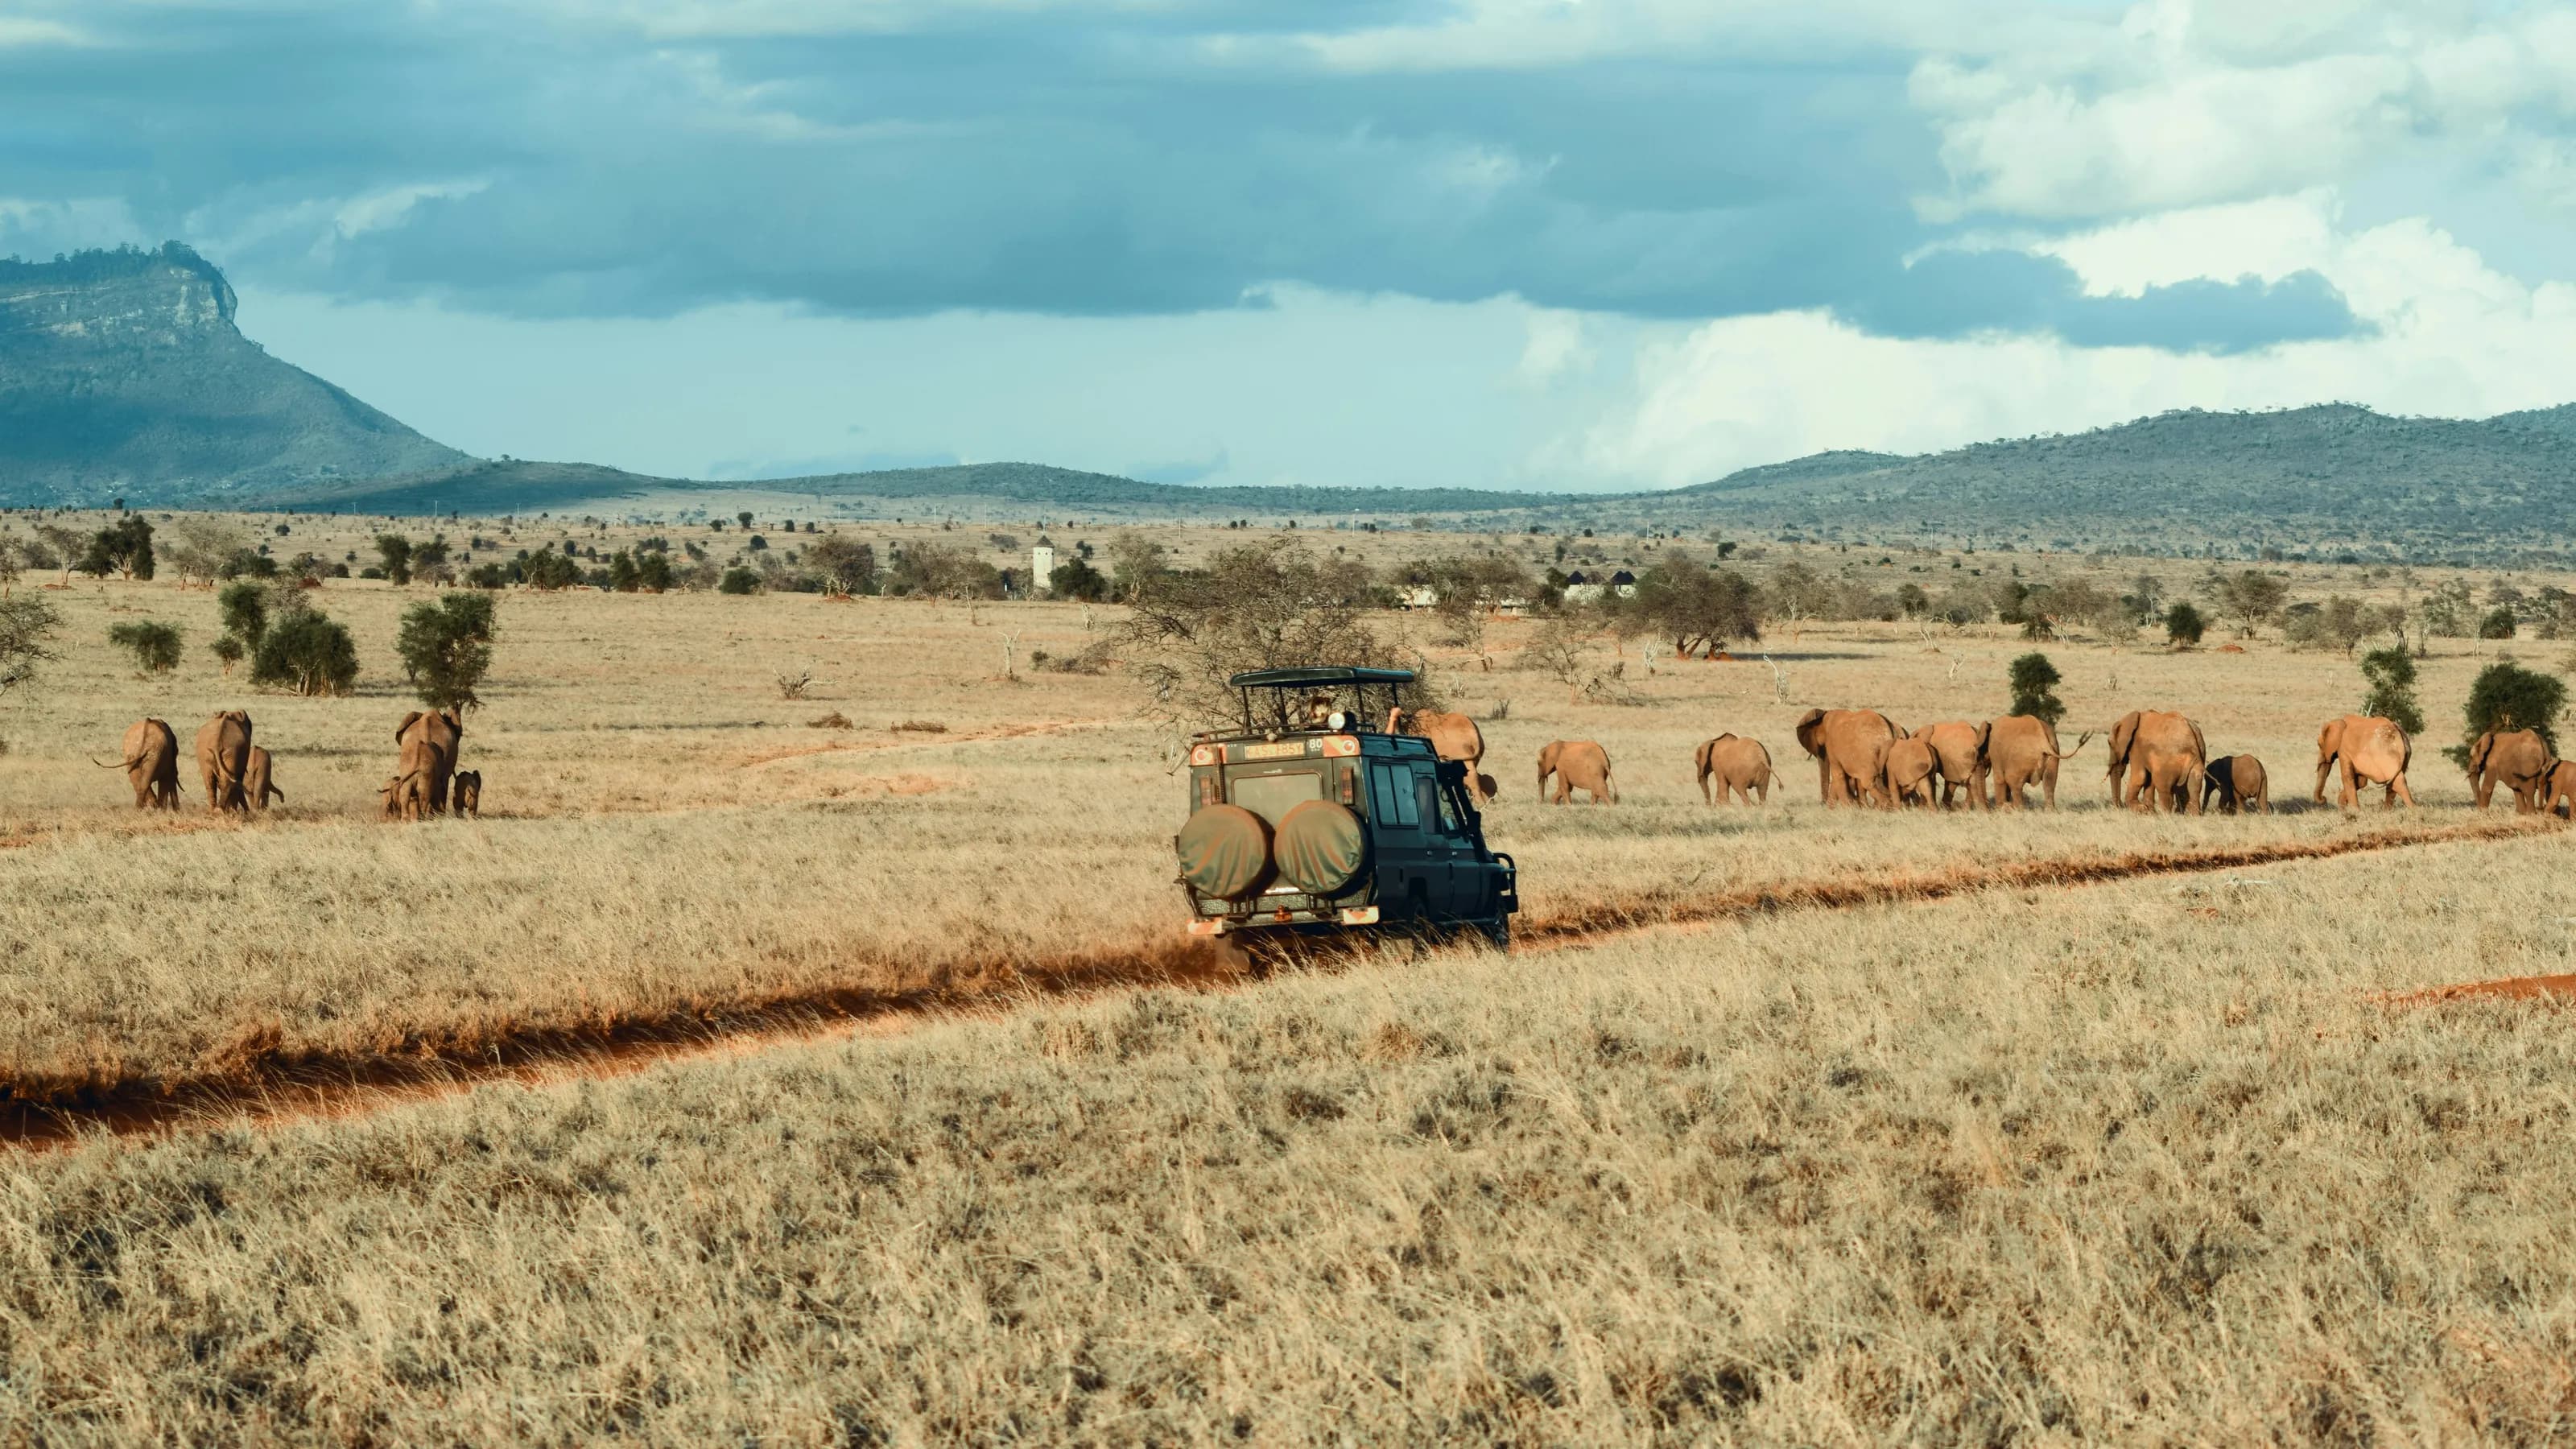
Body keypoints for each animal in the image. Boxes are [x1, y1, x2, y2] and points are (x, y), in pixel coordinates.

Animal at [194, 710, 254, 815]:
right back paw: (221, 811)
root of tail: (216, 744)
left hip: (204, 753)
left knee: (209, 781)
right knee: (228, 781)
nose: (248, 812)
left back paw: (214, 811)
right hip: (232, 752)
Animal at [1794, 708, 1900, 806]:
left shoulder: (1832, 745)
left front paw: (1847, 808)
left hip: (1870, 752)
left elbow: (1838, 773)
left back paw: (1886, 805)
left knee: (1868, 782)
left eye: (1822, 747)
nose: (1822, 804)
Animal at [2107, 710, 2206, 814]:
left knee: (2163, 787)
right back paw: (2189, 815)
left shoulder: (2136, 747)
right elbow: (2149, 780)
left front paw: (2140, 809)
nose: (2120, 806)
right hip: (2197, 760)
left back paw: (2164, 814)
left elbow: (2140, 777)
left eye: (2109, 743)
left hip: (2168, 763)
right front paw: (2148, 811)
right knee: (2193, 788)